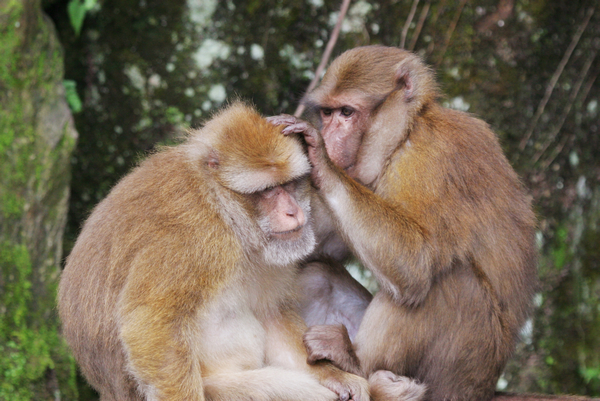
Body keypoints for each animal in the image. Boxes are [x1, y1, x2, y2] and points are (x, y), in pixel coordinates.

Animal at [61, 102, 370, 400]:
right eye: (268, 191)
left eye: (289, 184)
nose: (292, 212)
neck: (222, 207)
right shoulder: (191, 238)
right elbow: (152, 328)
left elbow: (270, 314)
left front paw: (333, 376)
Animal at [268, 47, 540, 400]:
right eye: (327, 113)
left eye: (346, 112)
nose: (328, 134)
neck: (405, 133)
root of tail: (485, 387)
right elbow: (315, 250)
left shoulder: (429, 159)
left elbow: (415, 261)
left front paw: (319, 157)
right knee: (318, 273)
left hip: (460, 373)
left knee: (452, 280)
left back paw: (354, 360)